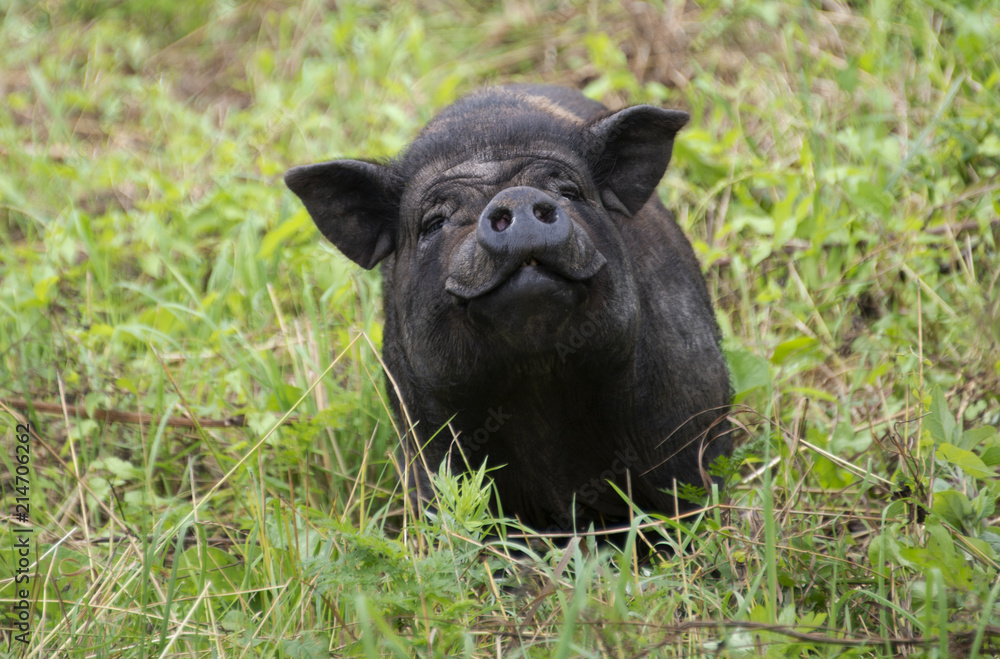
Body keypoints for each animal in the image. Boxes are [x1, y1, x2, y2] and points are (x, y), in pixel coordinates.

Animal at [285, 85, 731, 533]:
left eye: (569, 192)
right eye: (434, 221)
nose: (515, 197)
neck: (537, 381)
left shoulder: (689, 424)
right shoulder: (428, 447)